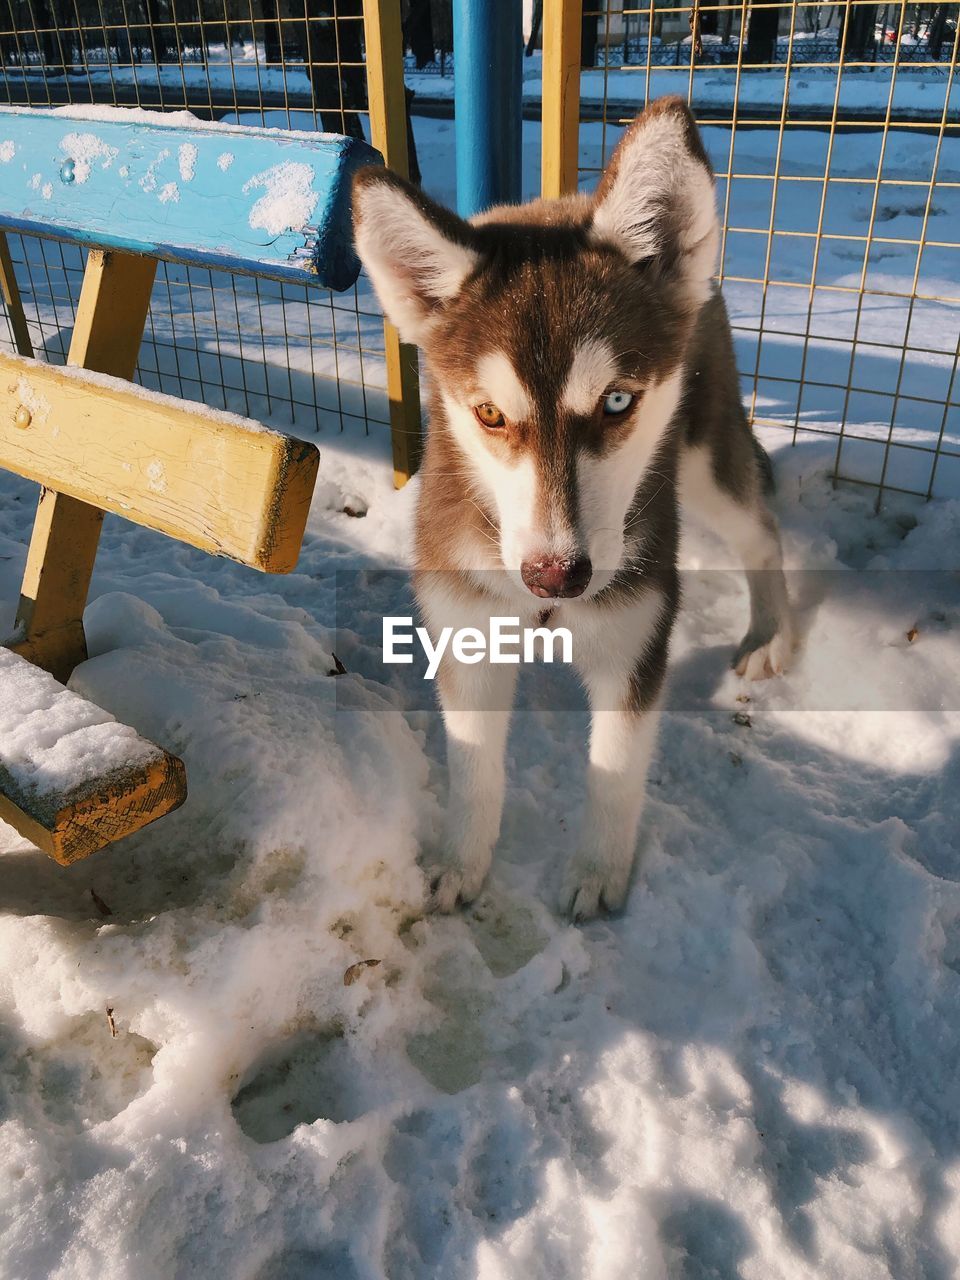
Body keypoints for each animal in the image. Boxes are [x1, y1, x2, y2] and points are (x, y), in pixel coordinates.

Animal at [358, 99, 793, 921]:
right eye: (490, 414)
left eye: (617, 402)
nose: (556, 576)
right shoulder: (465, 626)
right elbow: (474, 768)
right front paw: (462, 862)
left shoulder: (635, 633)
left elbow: (615, 772)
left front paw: (597, 873)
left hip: (705, 456)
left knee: (761, 528)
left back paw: (770, 633)